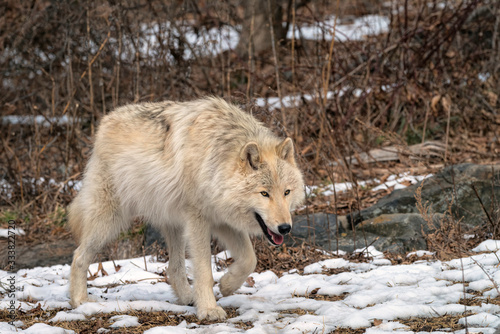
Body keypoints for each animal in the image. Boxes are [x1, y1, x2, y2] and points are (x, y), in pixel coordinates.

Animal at [68, 95, 304, 320]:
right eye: (264, 193)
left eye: (286, 192)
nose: (285, 228)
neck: (217, 160)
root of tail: (105, 121)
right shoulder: (198, 219)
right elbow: (205, 272)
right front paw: (209, 309)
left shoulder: (222, 219)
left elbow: (249, 259)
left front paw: (227, 286)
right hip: (109, 221)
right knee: (79, 256)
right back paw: (80, 301)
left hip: (174, 226)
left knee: (174, 268)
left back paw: (187, 298)